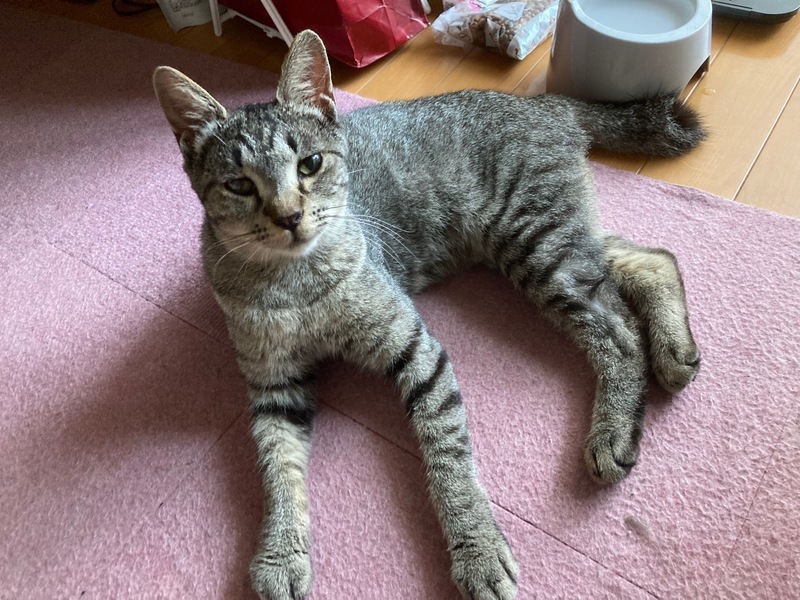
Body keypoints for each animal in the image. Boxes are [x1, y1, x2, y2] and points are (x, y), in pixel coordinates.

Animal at [153, 30, 703, 600]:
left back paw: (614, 428)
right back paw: (674, 351)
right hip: (551, 243)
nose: (289, 216)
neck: (293, 282)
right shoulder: (275, 388)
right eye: (239, 185)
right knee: (653, 258)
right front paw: (281, 552)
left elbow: (447, 455)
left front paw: (476, 548)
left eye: (310, 164)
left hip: (536, 244)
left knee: (618, 329)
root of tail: (545, 103)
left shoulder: (415, 348)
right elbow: (277, 469)